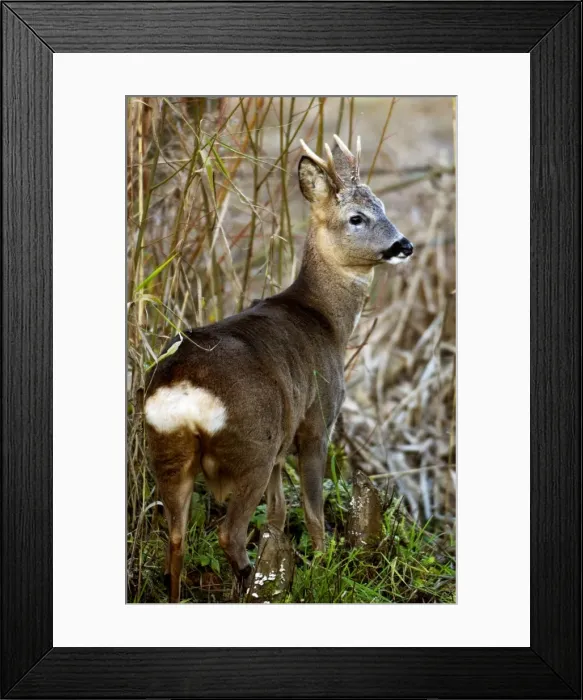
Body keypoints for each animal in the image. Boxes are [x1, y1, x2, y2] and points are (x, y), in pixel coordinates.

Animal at [143, 135, 413, 602]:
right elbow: (311, 511)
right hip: (253, 443)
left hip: (170, 450)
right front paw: (322, 567)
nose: (404, 246)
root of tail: (184, 391)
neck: (325, 319)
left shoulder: (282, 445)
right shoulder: (316, 420)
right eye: (356, 217)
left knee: (175, 539)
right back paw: (255, 586)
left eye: (382, 205)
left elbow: (277, 517)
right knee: (229, 534)